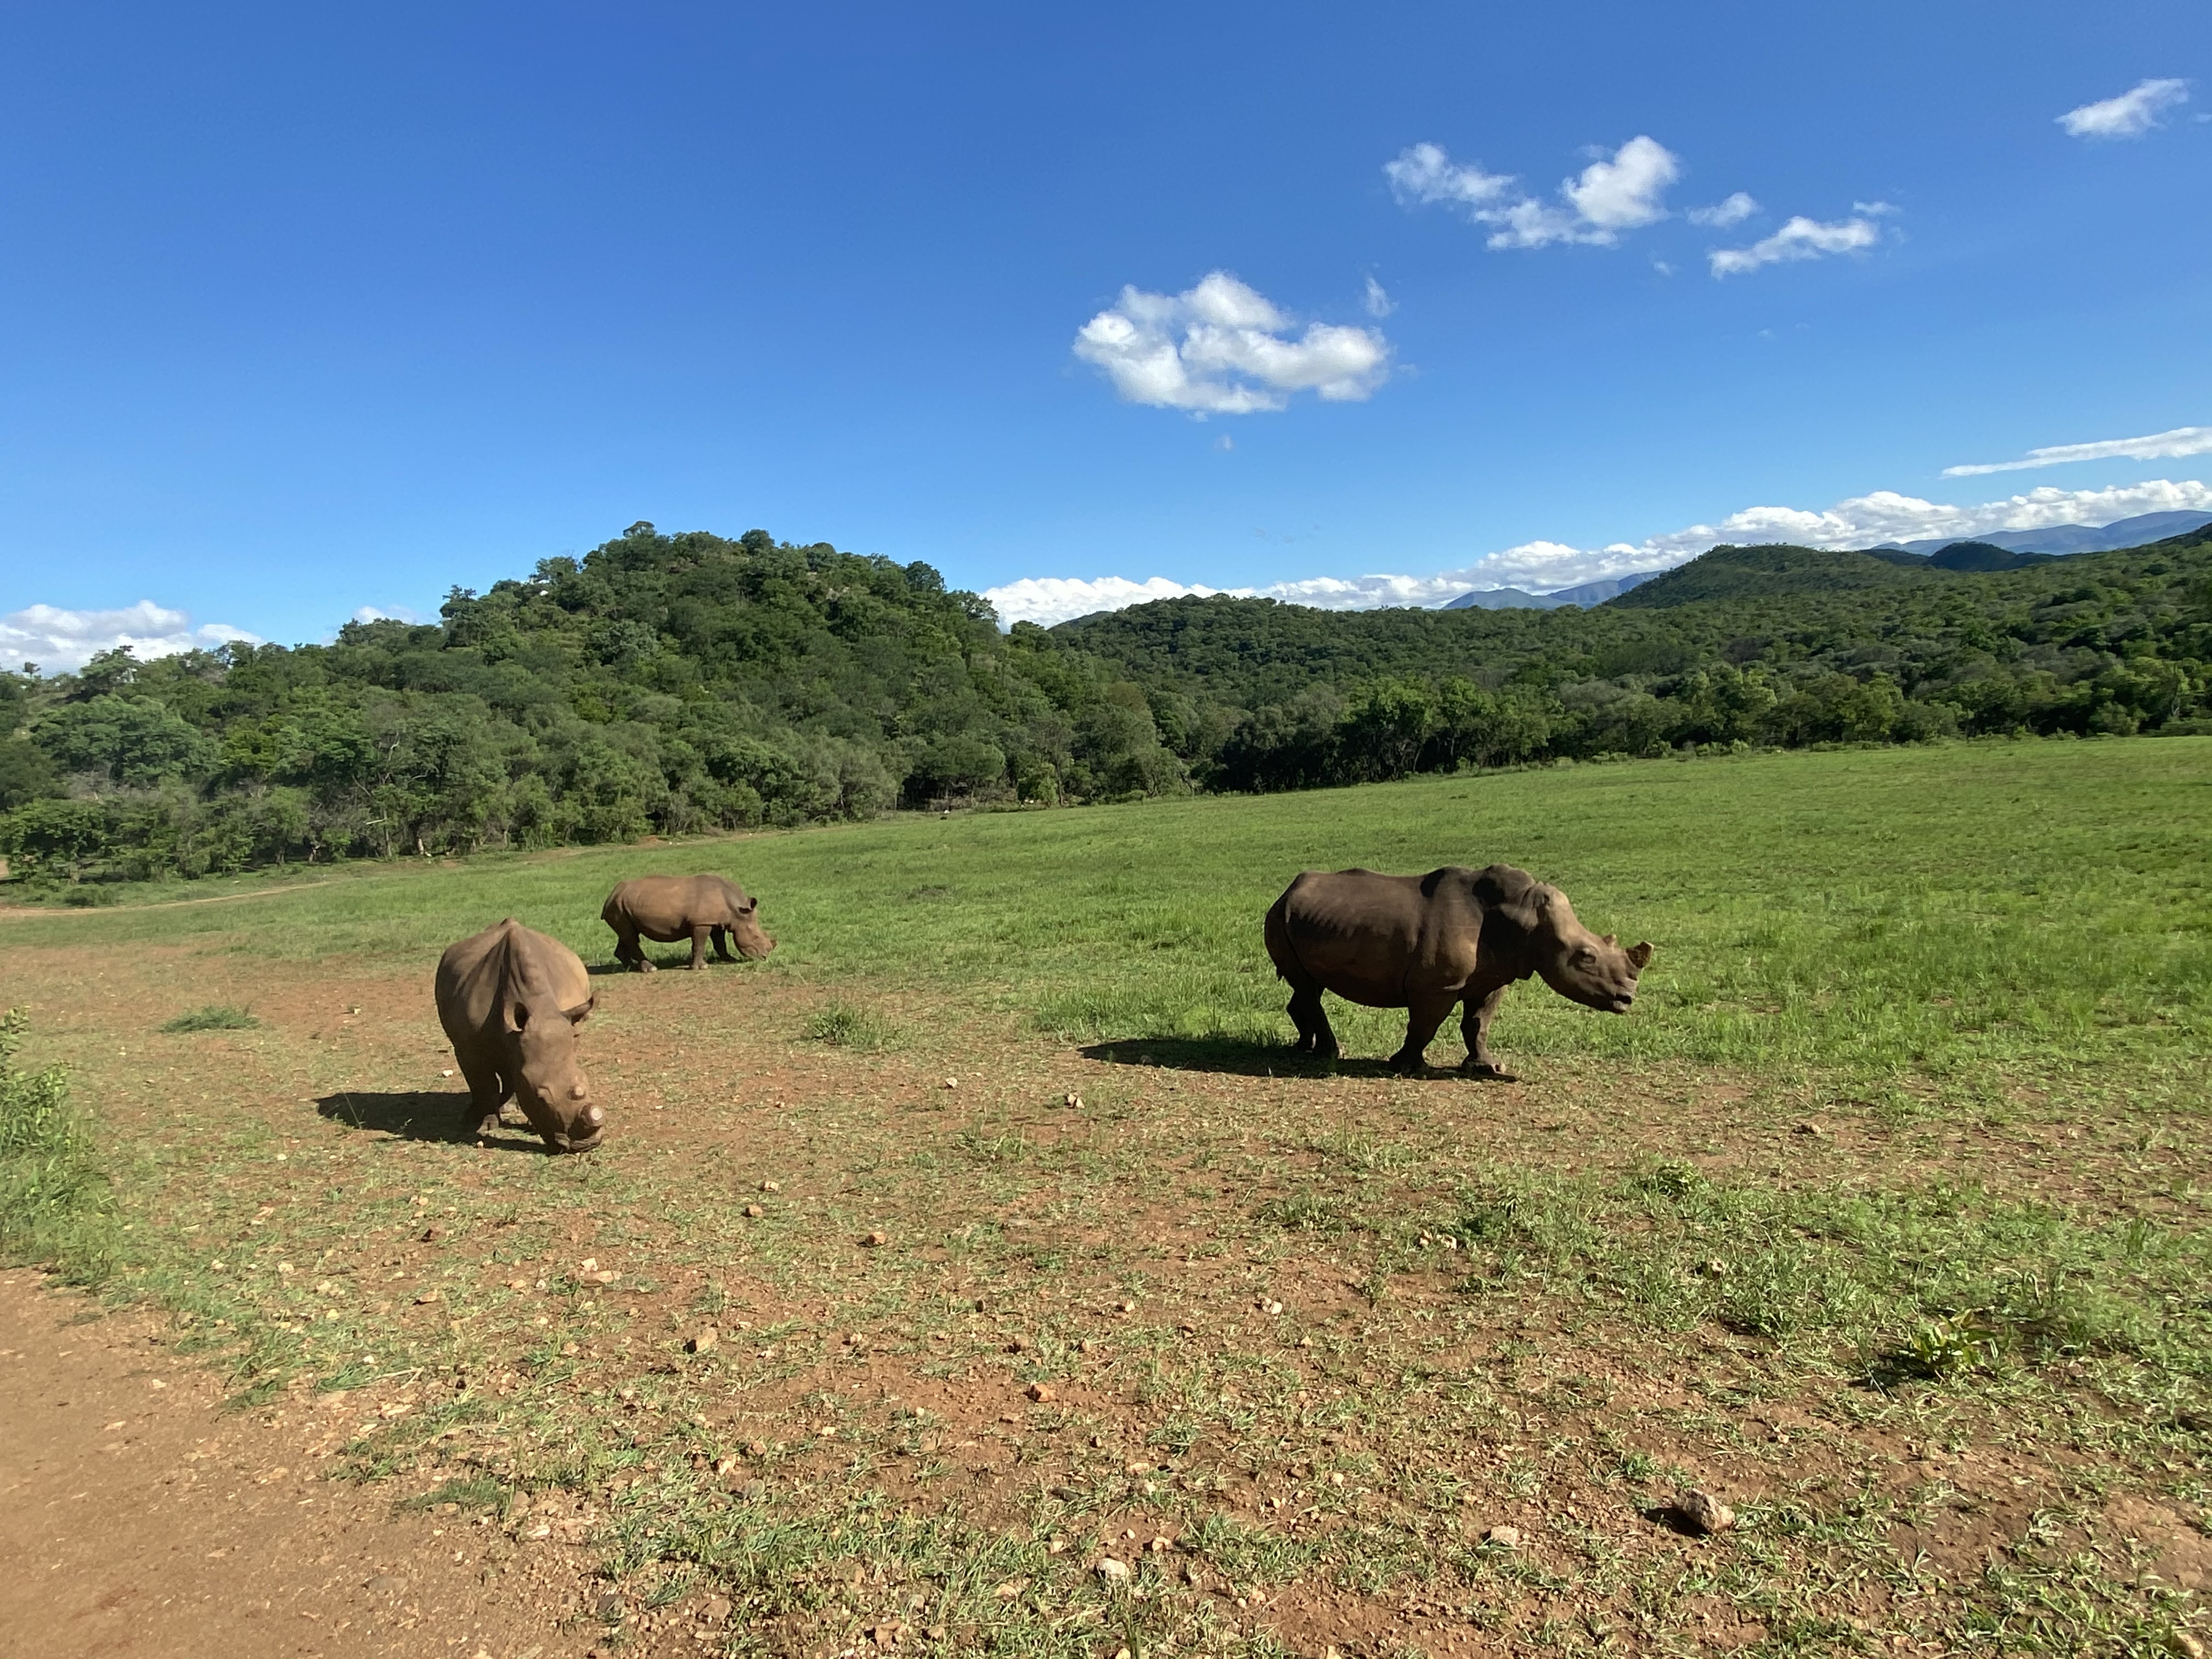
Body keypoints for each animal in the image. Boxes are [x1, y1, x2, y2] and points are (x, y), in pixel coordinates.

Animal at [434, 918, 604, 1151]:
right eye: (540, 1098)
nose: (586, 1145)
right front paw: (486, 1127)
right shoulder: (468, 1046)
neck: (539, 1008)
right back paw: (475, 1115)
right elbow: (484, 1084)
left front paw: (530, 1124)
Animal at [601, 873, 775, 972]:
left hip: (622, 907)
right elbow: (699, 944)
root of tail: (611, 895)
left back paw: (630, 968)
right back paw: (650, 969)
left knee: (627, 934)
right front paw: (701, 967)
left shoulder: (715, 921)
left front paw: (729, 959)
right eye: (756, 937)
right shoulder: (701, 923)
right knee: (630, 936)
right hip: (618, 906)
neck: (737, 911)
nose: (765, 957)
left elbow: (720, 942)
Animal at [1263, 864, 1653, 1077]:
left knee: (1308, 986)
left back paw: (1305, 1048)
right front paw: (1407, 1067)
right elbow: (1425, 1025)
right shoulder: (1439, 986)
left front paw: (1488, 1068)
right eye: (1586, 957)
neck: (1524, 915)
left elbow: (1478, 1024)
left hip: (1304, 919)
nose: (1628, 998)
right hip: (1278, 918)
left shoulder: (1493, 978)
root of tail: (1286, 890)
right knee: (1308, 987)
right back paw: (1330, 1053)